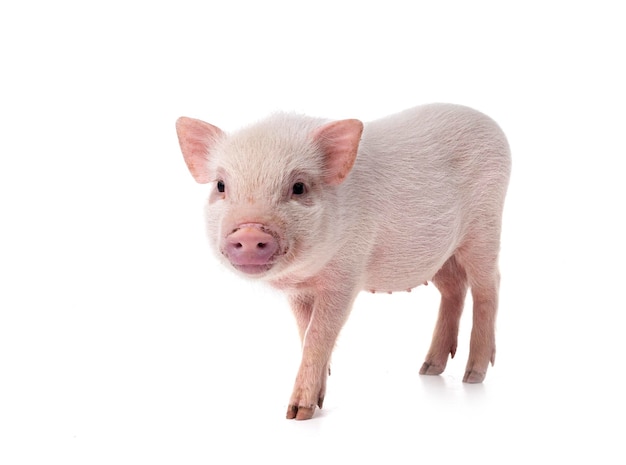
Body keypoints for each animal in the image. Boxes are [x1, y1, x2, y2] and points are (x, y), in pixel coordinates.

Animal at [174, 102, 508, 420]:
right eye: (220, 185)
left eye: (298, 187)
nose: (249, 231)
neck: (307, 272)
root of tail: (495, 128)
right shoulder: (299, 292)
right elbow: (304, 332)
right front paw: (319, 398)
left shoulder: (346, 275)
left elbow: (318, 334)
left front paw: (297, 414)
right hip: (440, 254)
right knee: (455, 289)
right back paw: (428, 369)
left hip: (485, 228)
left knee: (488, 286)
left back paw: (473, 375)